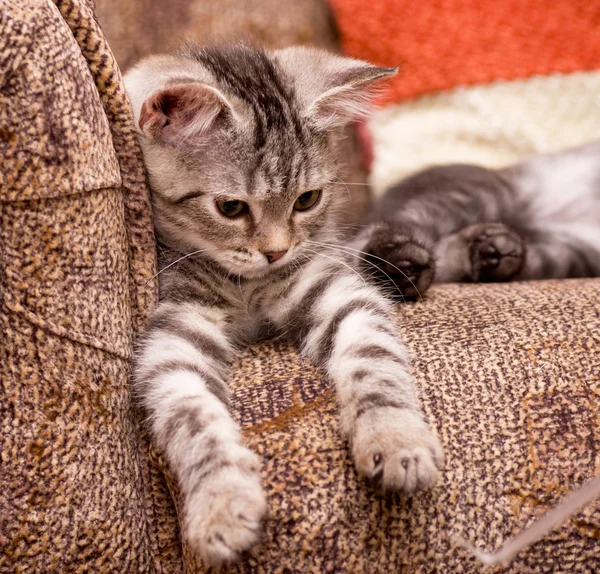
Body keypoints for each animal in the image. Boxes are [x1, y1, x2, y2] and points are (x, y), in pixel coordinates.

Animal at [125, 45, 446, 568]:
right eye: (231, 208)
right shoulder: (174, 334)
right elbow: (193, 417)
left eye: (307, 199)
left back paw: (402, 262)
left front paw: (395, 438)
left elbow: (374, 361)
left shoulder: (334, 289)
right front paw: (222, 502)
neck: (246, 289)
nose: (275, 252)